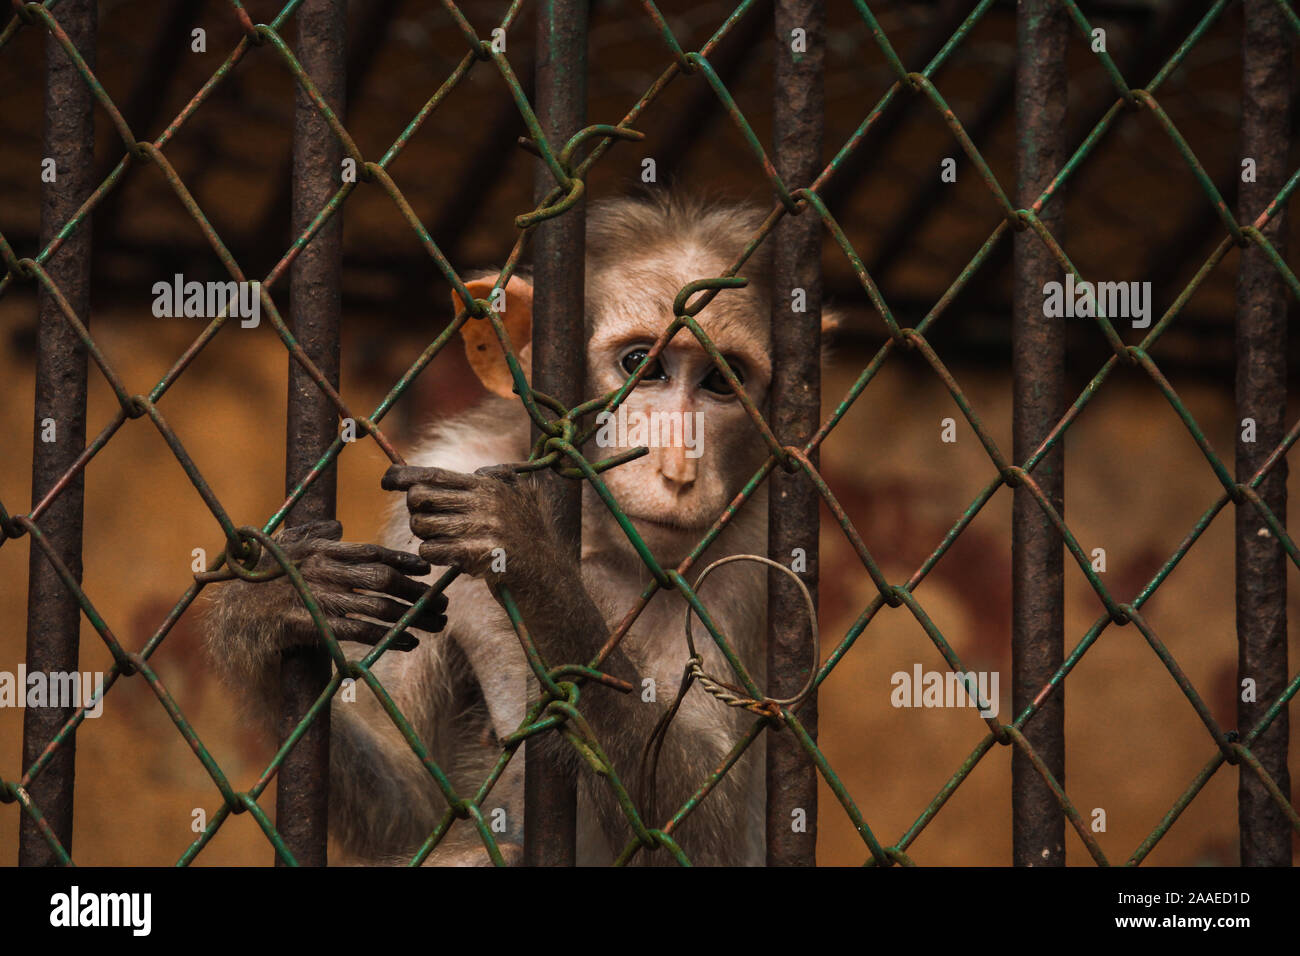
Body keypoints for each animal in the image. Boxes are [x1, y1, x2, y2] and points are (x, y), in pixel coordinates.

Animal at [206, 195, 826, 868]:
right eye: (643, 365)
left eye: (720, 379)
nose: (678, 469)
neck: (599, 535)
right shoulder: (445, 476)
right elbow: (414, 799)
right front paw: (272, 604)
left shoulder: (749, 564)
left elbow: (701, 836)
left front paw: (527, 551)